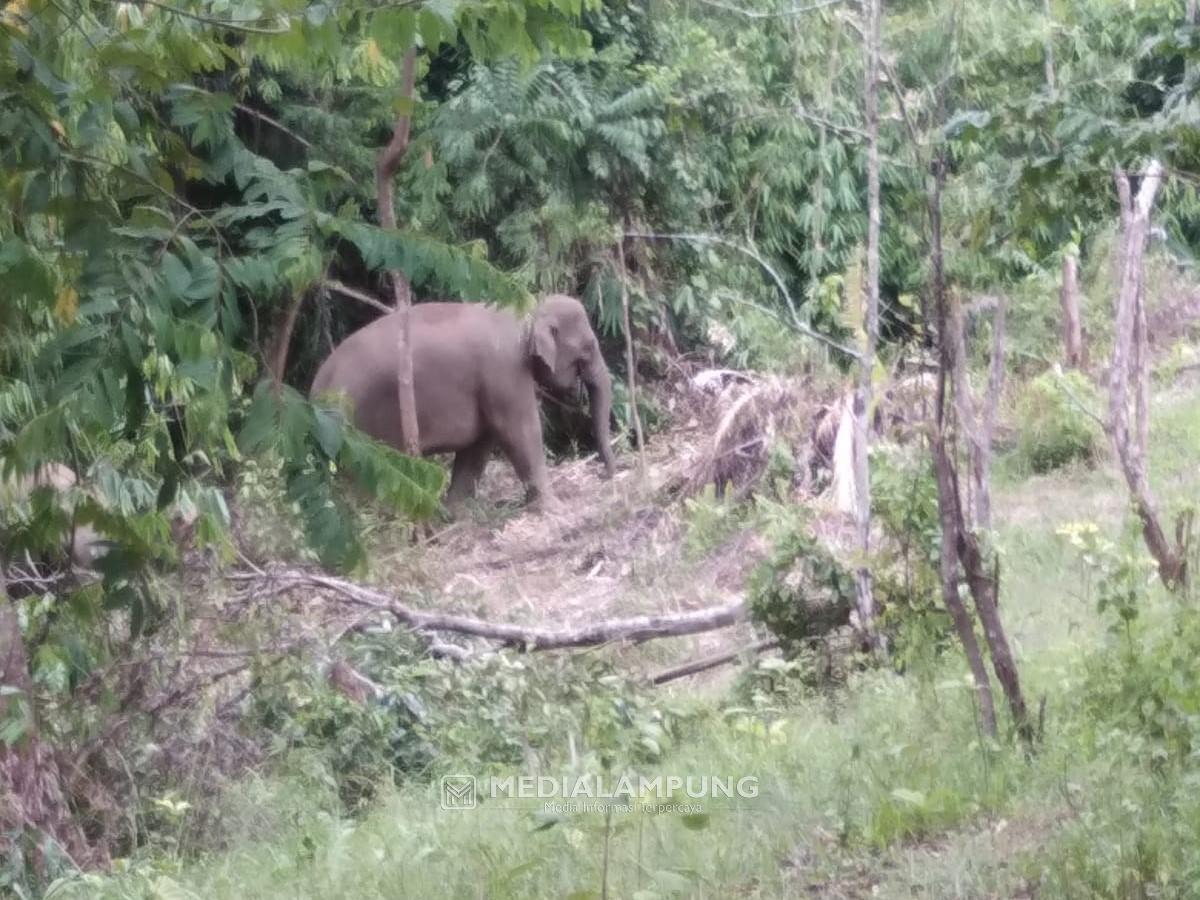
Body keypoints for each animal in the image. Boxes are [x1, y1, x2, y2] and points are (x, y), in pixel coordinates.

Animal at [309, 294, 614, 511]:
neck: (525, 308)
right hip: (357, 429)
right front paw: (554, 508)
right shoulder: (504, 372)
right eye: (587, 349)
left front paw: (457, 514)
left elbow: (479, 444)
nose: (607, 476)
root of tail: (317, 385)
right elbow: (520, 432)